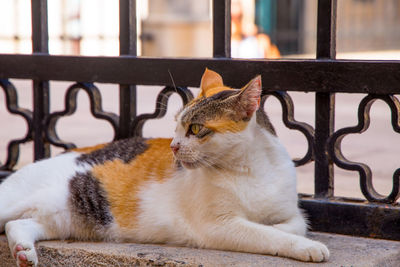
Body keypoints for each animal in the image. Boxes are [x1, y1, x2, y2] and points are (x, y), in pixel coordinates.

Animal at [0, 69, 328, 267]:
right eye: (177, 126)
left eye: (195, 128)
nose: (173, 146)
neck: (249, 168)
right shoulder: (218, 225)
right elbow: (269, 235)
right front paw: (309, 248)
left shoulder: (292, 212)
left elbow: (295, 224)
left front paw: (285, 230)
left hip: (64, 218)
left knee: (18, 225)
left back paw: (24, 254)